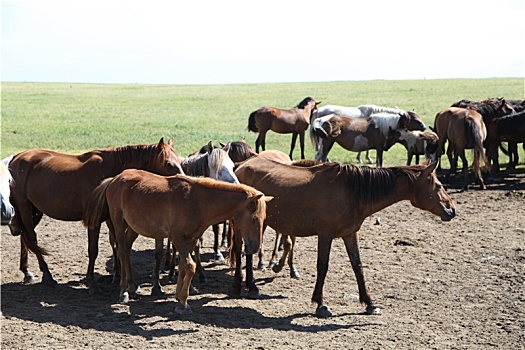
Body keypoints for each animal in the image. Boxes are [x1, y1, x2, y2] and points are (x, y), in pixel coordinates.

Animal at [6, 137, 184, 292]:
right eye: (168, 163)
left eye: (180, 161)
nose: (182, 179)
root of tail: (16, 158)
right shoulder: (94, 220)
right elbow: (94, 250)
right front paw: (92, 282)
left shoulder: (112, 218)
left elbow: (118, 245)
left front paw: (119, 277)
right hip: (24, 206)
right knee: (31, 237)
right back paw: (48, 275)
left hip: (35, 211)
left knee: (25, 237)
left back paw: (27, 272)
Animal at [83, 170, 270, 314]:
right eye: (253, 218)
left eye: (264, 219)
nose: (254, 248)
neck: (198, 200)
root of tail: (114, 179)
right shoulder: (176, 237)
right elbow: (190, 266)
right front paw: (183, 303)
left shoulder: (191, 239)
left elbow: (183, 265)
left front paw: (179, 298)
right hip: (119, 224)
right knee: (122, 251)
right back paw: (123, 292)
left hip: (134, 227)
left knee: (127, 250)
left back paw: (132, 286)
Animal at [233, 156, 454, 318]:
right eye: (439, 185)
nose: (452, 210)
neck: (351, 191)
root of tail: (241, 165)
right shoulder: (325, 234)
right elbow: (323, 266)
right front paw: (320, 304)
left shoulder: (349, 234)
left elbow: (358, 266)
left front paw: (370, 303)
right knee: (242, 250)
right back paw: (245, 285)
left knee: (249, 250)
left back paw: (250, 285)